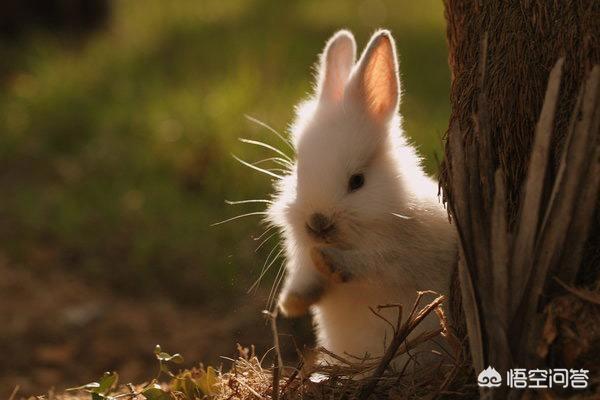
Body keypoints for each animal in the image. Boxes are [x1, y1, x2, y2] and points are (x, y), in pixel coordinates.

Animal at [264, 29, 458, 364]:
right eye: (300, 173)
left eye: (357, 182)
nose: (317, 223)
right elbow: (306, 274)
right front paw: (293, 302)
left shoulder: (404, 253)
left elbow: (374, 263)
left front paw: (328, 262)